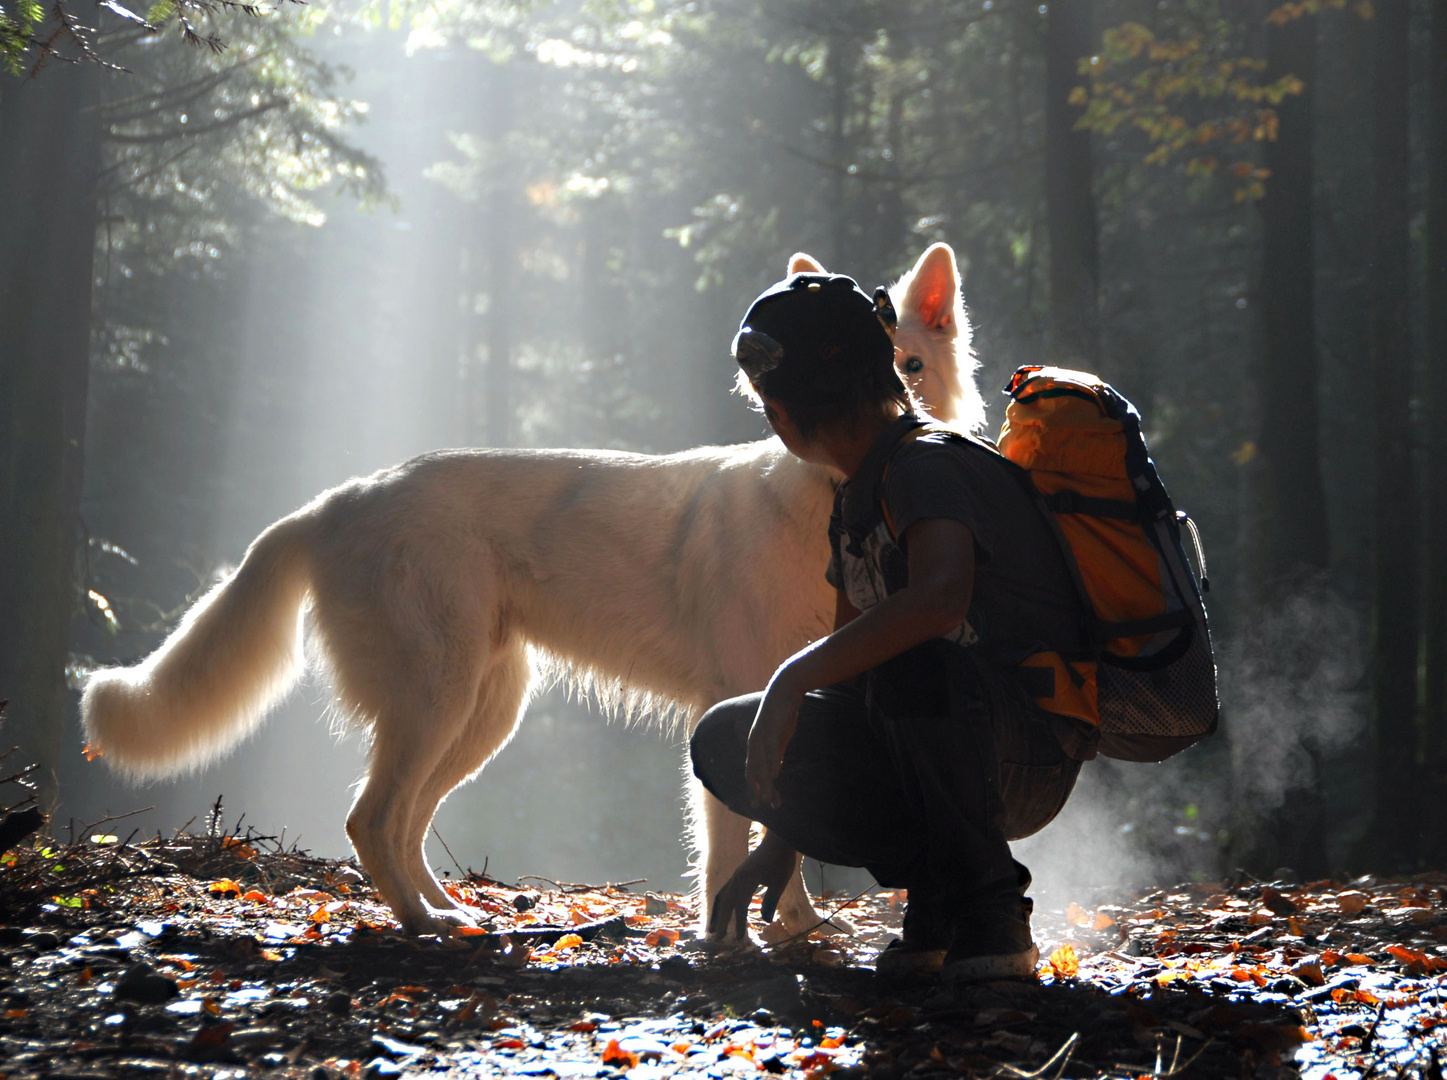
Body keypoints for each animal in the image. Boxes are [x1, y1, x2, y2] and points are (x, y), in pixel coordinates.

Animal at [82, 240, 983, 932]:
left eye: (915, 362)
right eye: (886, 363)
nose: (906, 411)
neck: (825, 493)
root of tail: (341, 500)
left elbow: (782, 842)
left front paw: (794, 929)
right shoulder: (744, 704)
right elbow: (737, 846)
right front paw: (732, 939)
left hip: (481, 712)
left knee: (403, 823)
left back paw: (445, 910)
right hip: (437, 700)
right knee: (371, 818)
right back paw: (425, 926)